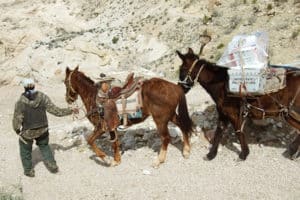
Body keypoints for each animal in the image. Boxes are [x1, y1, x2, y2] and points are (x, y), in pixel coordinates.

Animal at [64, 66, 193, 167]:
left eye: (65, 82)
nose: (68, 99)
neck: (94, 97)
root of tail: (175, 87)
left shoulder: (101, 127)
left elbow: (90, 141)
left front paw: (106, 159)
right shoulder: (112, 127)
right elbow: (115, 143)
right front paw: (116, 160)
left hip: (160, 119)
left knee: (166, 138)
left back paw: (158, 161)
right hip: (170, 115)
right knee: (183, 126)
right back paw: (186, 151)